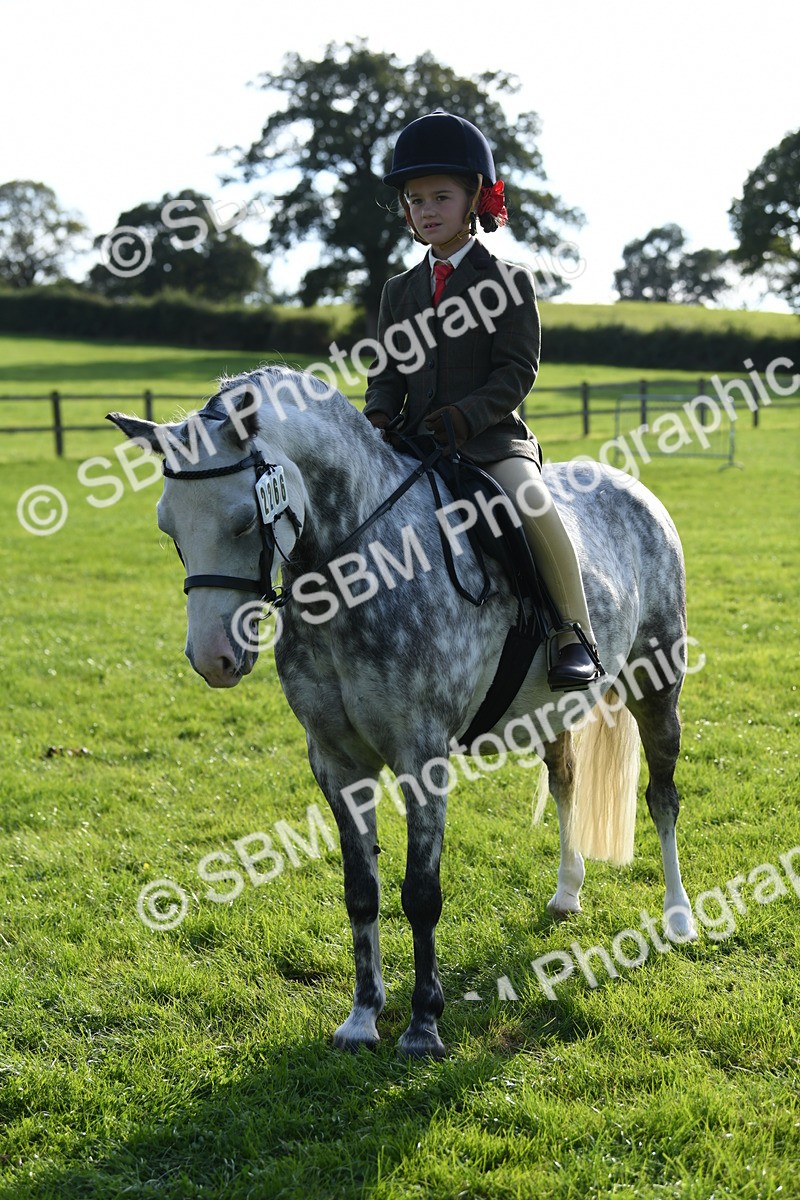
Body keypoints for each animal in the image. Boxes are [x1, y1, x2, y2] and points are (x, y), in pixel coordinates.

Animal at [108, 365, 698, 1058]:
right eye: (168, 527)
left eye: (242, 521)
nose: (213, 659)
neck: (359, 570)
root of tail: (635, 489)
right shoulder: (336, 764)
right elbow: (361, 892)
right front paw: (363, 1016)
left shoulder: (422, 758)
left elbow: (420, 894)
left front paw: (422, 1027)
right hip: (553, 710)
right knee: (565, 781)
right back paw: (566, 892)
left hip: (658, 684)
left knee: (662, 797)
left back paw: (679, 917)